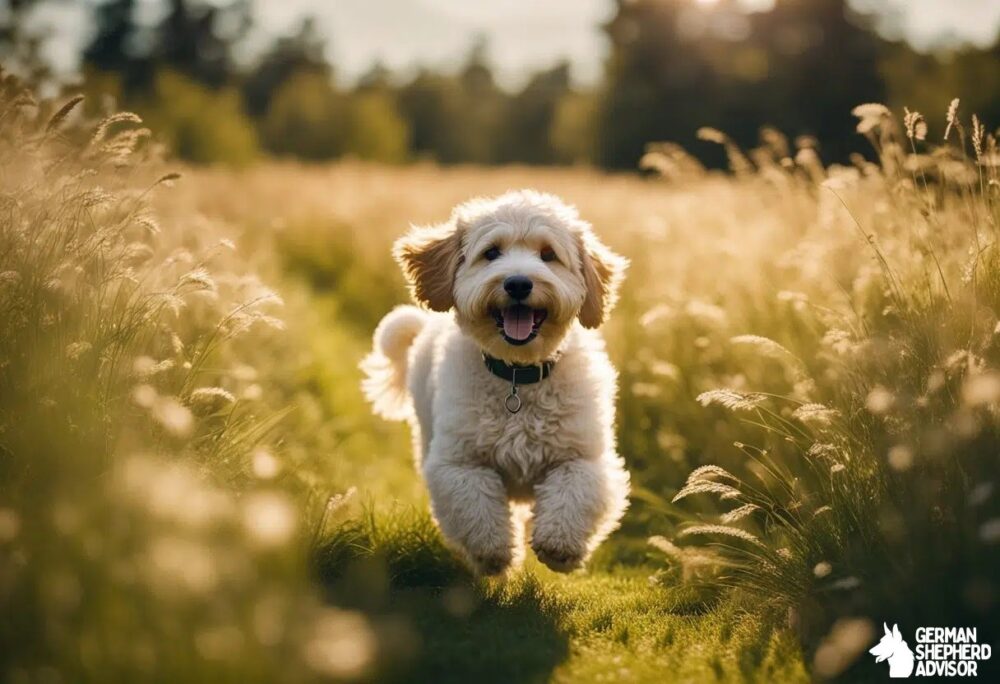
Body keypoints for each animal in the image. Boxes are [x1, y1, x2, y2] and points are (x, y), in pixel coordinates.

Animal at [364, 190, 628, 576]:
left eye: (548, 254)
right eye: (491, 253)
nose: (518, 283)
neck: (518, 377)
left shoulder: (584, 458)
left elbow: (574, 493)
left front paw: (560, 548)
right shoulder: (459, 464)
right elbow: (476, 507)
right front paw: (494, 553)